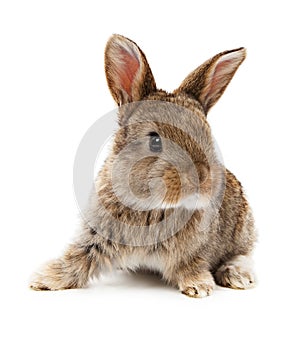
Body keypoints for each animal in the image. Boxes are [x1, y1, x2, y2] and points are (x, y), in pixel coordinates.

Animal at [29, 35, 255, 298]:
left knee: (243, 254)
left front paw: (199, 286)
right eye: (155, 141)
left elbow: (192, 263)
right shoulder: (96, 239)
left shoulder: (196, 251)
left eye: (208, 136)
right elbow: (77, 260)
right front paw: (43, 280)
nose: (201, 178)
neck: (152, 205)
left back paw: (238, 276)